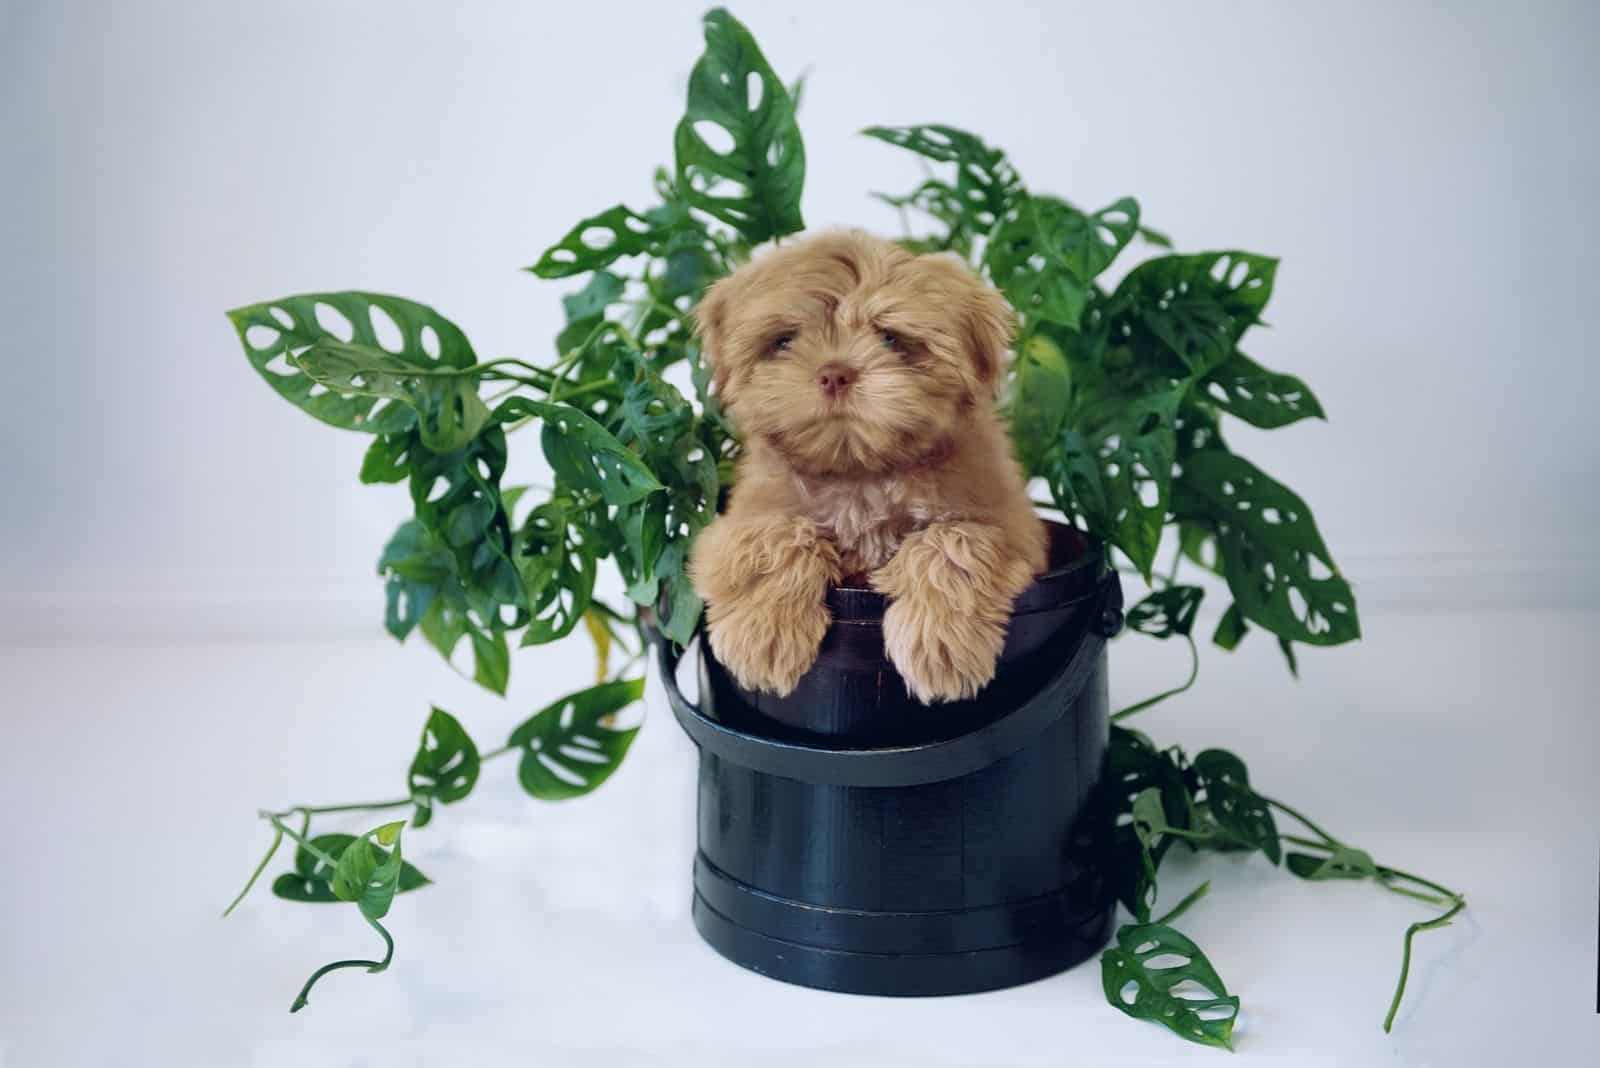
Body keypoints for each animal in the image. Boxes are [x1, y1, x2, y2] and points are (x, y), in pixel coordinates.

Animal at [688, 230, 1049, 703]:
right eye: (784, 341)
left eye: (891, 339)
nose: (835, 374)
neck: (859, 472)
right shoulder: (733, 524)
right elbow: (771, 536)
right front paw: (765, 636)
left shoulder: (1016, 529)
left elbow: (954, 539)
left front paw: (939, 643)